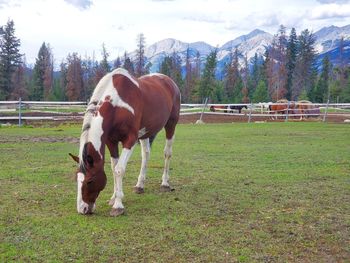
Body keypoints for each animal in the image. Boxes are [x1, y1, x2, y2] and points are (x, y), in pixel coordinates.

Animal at [70, 69, 182, 218]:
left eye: (90, 181)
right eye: (77, 179)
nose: (82, 209)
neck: (116, 105)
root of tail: (169, 82)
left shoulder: (130, 140)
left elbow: (119, 169)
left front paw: (118, 205)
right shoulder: (111, 141)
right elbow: (113, 168)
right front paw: (114, 197)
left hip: (171, 124)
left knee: (167, 153)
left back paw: (165, 183)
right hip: (145, 133)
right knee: (146, 155)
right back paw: (140, 185)